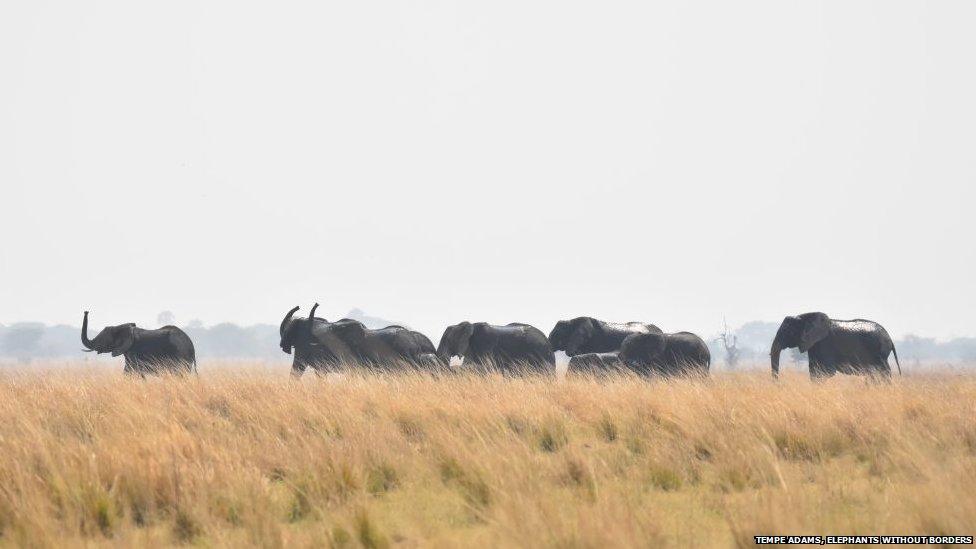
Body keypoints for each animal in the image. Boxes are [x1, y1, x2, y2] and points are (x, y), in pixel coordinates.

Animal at [772, 310, 900, 378]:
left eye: (788, 332)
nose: (778, 383)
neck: (805, 316)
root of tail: (890, 338)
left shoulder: (825, 344)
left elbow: (826, 372)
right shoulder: (814, 344)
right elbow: (813, 369)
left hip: (879, 352)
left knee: (882, 371)